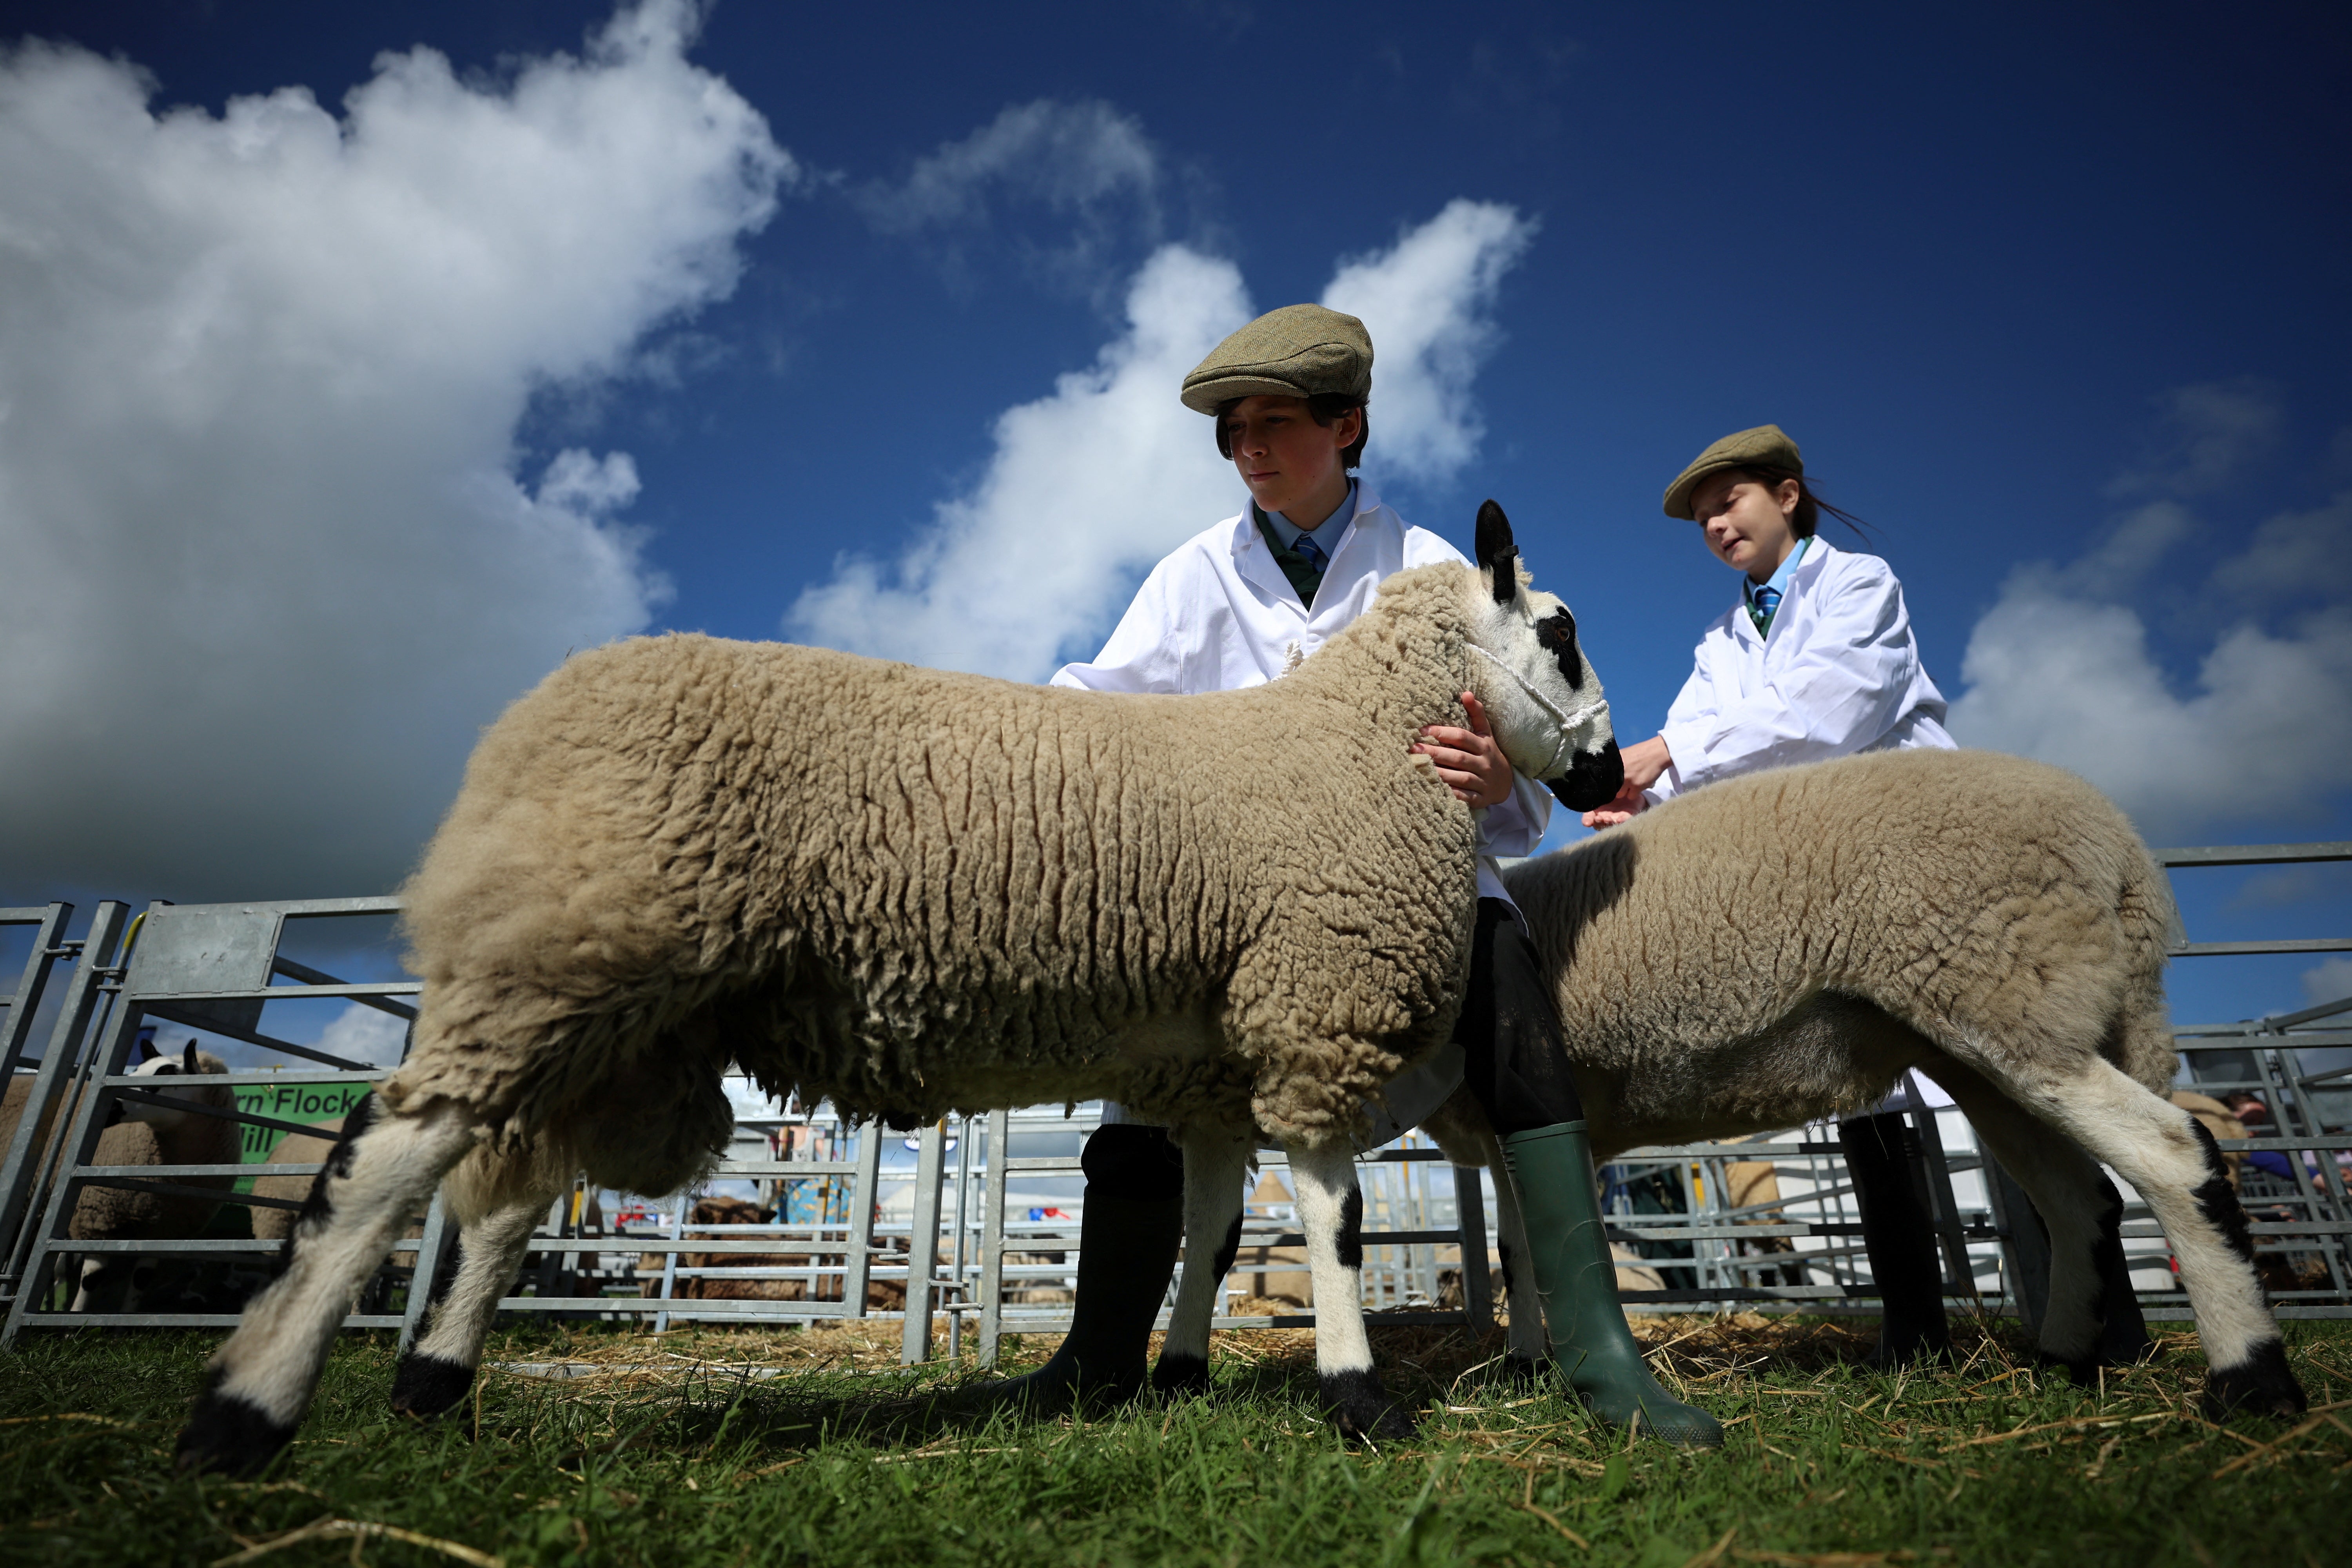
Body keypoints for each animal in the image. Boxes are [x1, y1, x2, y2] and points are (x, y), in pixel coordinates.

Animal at [179, 501, 1618, 1476]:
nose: (1606, 775)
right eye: (1560, 635)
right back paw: (245, 1410)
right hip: (565, 950)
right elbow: (1337, 1219)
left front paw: (1182, 1375)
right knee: (395, 1151)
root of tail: (522, 728)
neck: (1358, 744)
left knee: (513, 1189)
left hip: (615, 997)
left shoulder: (1219, 1052)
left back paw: (433, 1383)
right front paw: (1360, 1399)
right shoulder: (1321, 991)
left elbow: (1211, 1227)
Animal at [1383, 748, 2305, 1420]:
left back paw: (2251, 1380)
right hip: (1991, 1042)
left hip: (2011, 995)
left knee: (2170, 1153)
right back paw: (2061, 1357)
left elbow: (1526, 1248)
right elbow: (1522, 1247)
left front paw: (1537, 1367)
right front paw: (1528, 1365)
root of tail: (2126, 857)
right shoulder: (1513, 1125)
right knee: (2083, 1197)